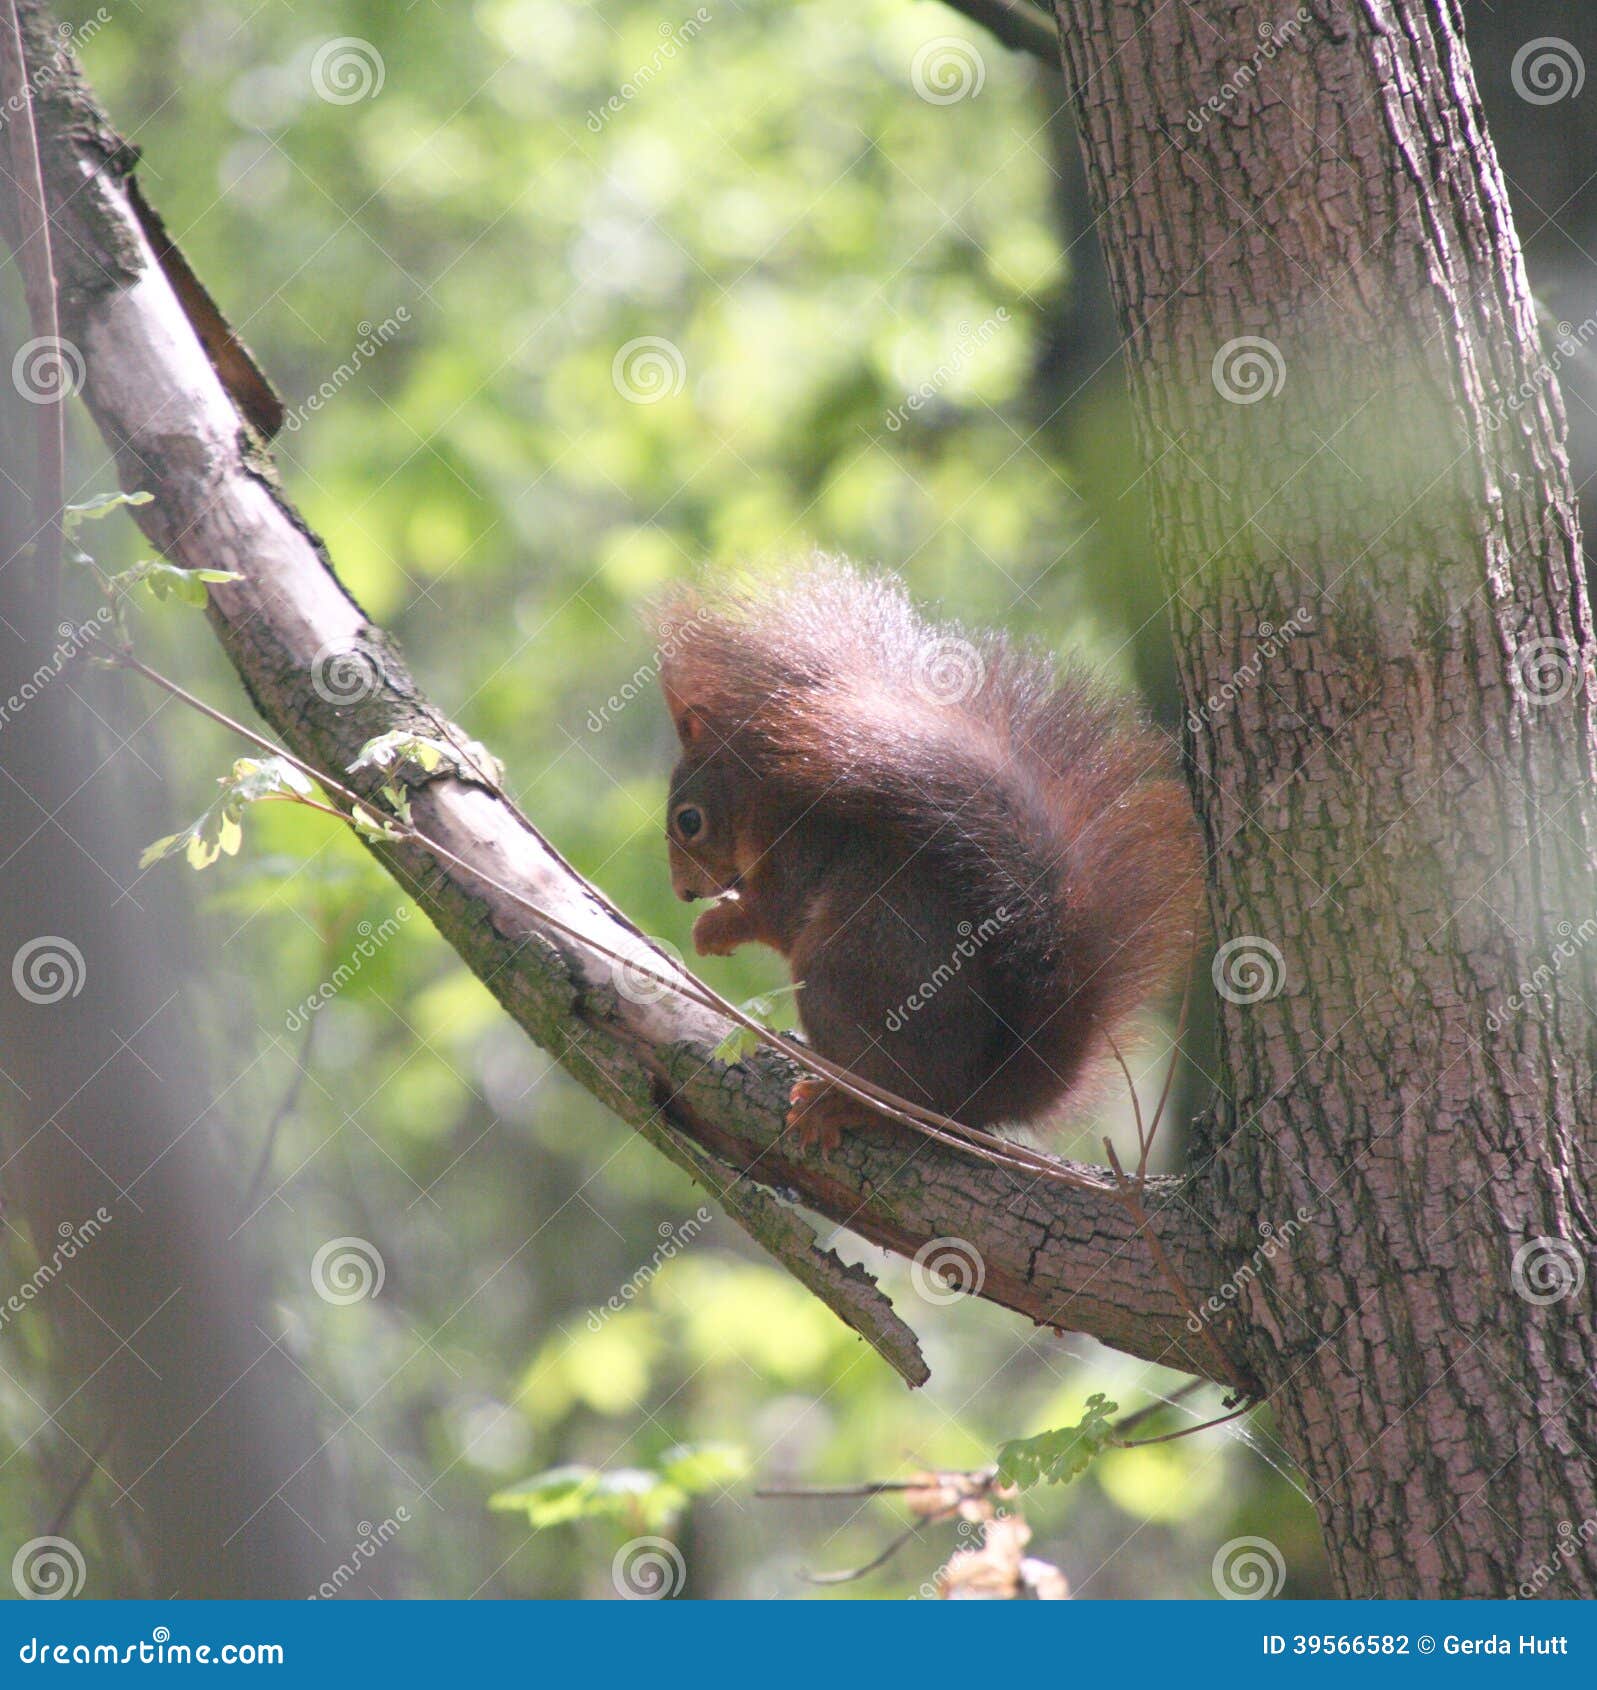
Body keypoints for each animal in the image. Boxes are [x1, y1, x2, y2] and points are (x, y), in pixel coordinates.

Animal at [648, 561, 1196, 1155]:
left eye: (689, 821)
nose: (682, 892)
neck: (762, 800)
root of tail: (973, 1095)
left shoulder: (798, 852)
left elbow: (773, 915)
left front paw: (712, 929)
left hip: (839, 973)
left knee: (897, 1102)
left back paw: (837, 1104)